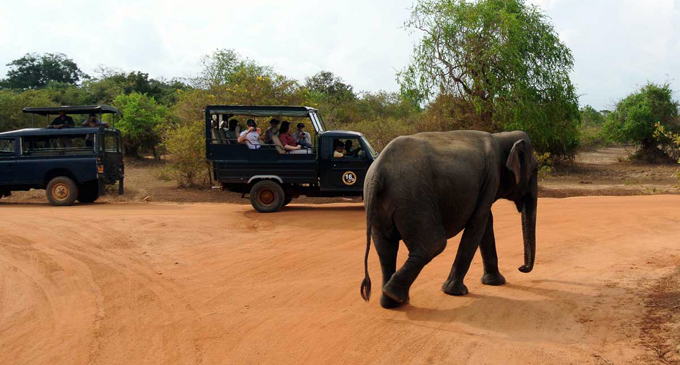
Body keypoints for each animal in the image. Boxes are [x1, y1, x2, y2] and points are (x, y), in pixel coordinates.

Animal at [358, 131, 540, 308]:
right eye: (536, 169)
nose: (521, 267)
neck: (501, 137)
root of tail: (378, 173)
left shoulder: (487, 183)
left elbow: (486, 221)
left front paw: (494, 282)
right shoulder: (491, 177)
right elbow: (478, 223)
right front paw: (455, 292)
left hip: (381, 205)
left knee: (386, 249)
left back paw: (390, 302)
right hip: (414, 200)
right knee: (433, 245)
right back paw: (394, 295)